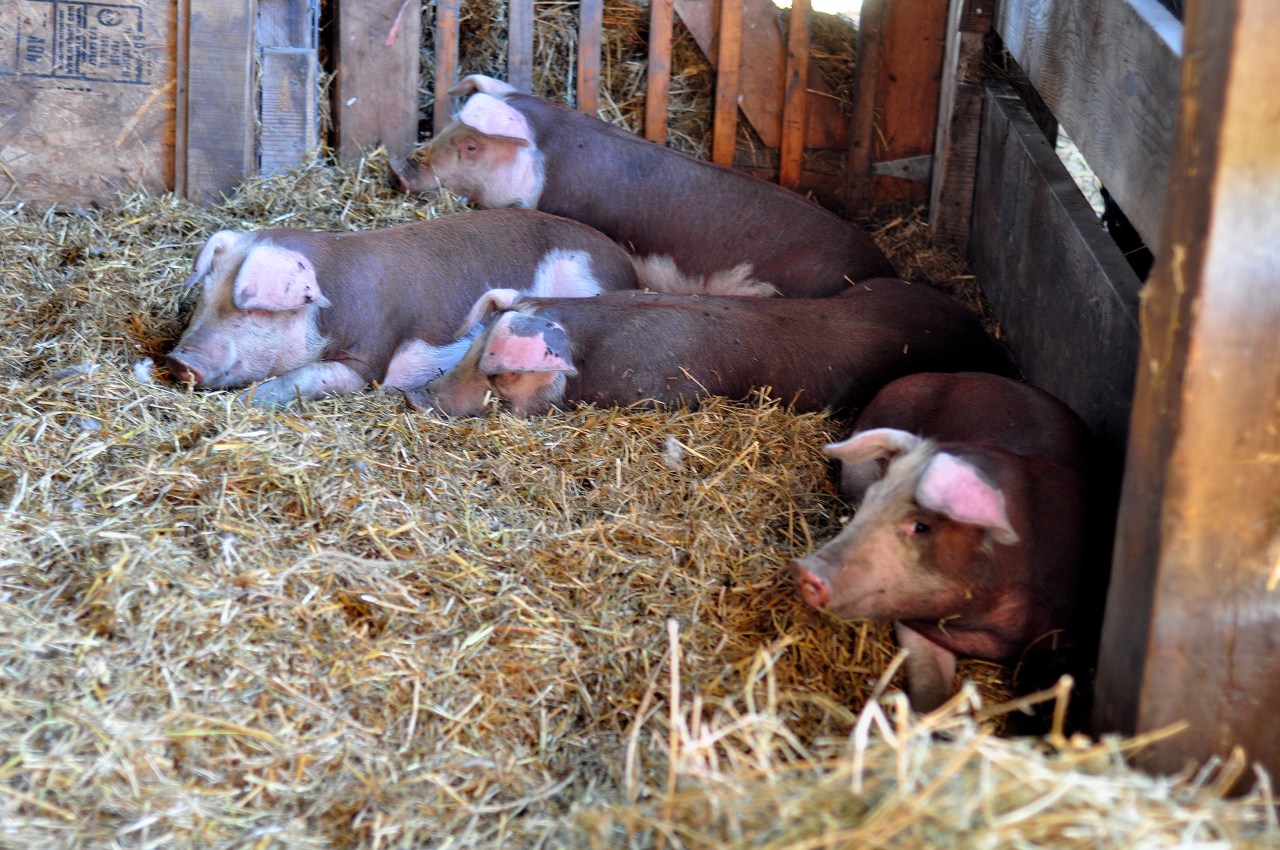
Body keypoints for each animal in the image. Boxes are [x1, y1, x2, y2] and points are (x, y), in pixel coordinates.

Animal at [167, 209, 652, 407]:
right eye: (204, 297)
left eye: (252, 309)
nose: (178, 361)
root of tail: (625, 264)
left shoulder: (371, 354)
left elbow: (313, 376)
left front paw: (250, 400)